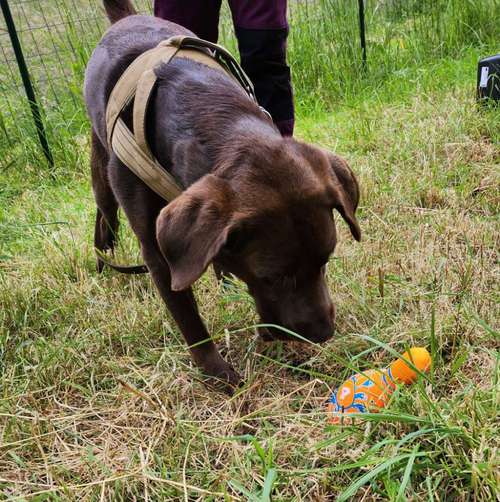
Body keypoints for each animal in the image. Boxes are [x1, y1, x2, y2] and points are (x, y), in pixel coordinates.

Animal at [85, 0, 360, 390]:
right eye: (273, 277)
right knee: (104, 216)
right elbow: (188, 317)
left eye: (325, 260)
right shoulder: (158, 253)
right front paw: (217, 372)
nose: (323, 333)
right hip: (102, 172)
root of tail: (126, 18)